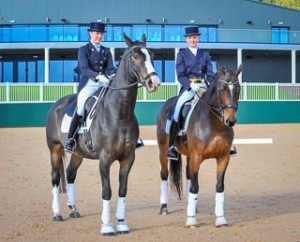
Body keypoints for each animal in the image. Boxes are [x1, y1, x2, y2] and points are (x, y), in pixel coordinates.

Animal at [45, 33, 161, 235]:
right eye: (135, 56)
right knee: (55, 178)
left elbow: (122, 190)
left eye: (152, 55)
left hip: (78, 154)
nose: (153, 82)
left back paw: (73, 210)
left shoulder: (128, 158)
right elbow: (107, 191)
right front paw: (107, 226)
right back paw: (57, 214)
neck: (119, 113)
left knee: (70, 175)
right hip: (55, 150)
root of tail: (56, 105)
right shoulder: (104, 159)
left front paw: (121, 223)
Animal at [156, 63, 243, 228]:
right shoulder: (197, 157)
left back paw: (192, 206)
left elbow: (219, 186)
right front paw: (191, 221)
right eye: (222, 89)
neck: (214, 123)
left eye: (238, 89)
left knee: (188, 176)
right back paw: (164, 208)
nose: (230, 120)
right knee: (164, 174)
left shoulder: (223, 157)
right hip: (163, 150)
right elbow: (195, 186)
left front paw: (220, 218)